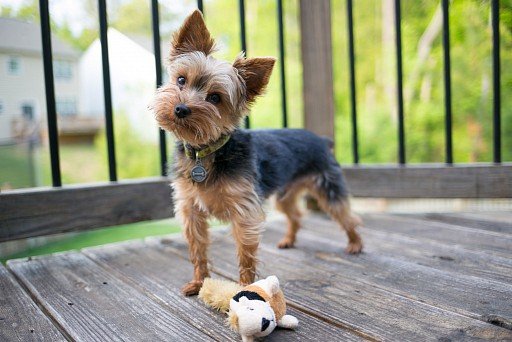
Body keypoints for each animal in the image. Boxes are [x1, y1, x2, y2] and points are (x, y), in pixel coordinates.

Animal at [150, 9, 362, 296]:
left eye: (215, 98)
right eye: (181, 80)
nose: (180, 109)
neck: (206, 152)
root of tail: (321, 139)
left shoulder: (244, 209)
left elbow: (245, 251)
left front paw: (245, 286)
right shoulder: (190, 209)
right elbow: (198, 248)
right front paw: (198, 281)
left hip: (327, 185)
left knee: (347, 215)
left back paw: (355, 243)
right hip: (285, 193)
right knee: (295, 214)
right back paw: (288, 240)